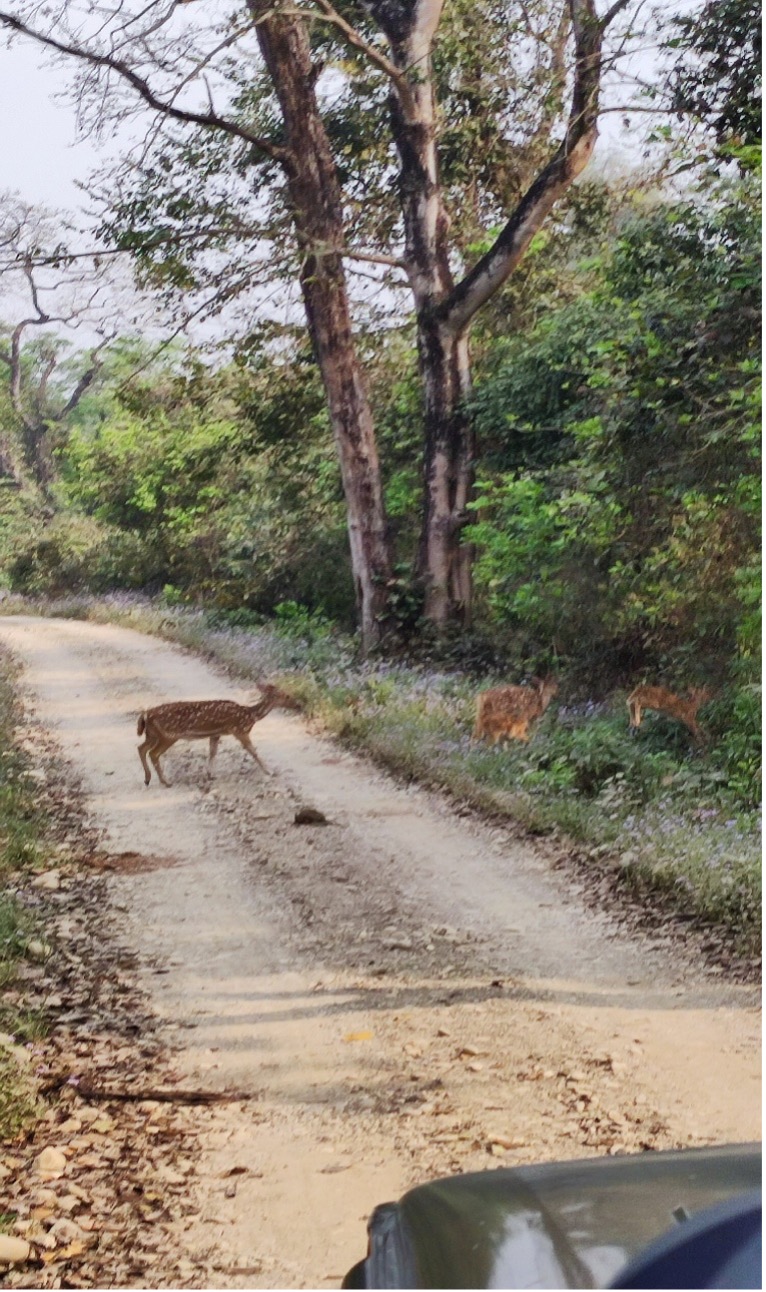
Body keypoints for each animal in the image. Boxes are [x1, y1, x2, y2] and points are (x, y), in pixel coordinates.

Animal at [136, 683, 300, 787]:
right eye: (286, 695)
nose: (298, 704)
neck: (250, 716)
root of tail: (146, 714)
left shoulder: (216, 733)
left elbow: (213, 752)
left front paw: (210, 774)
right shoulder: (239, 730)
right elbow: (253, 751)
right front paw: (270, 771)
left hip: (152, 734)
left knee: (141, 748)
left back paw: (147, 779)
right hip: (169, 735)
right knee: (153, 753)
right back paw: (166, 782)